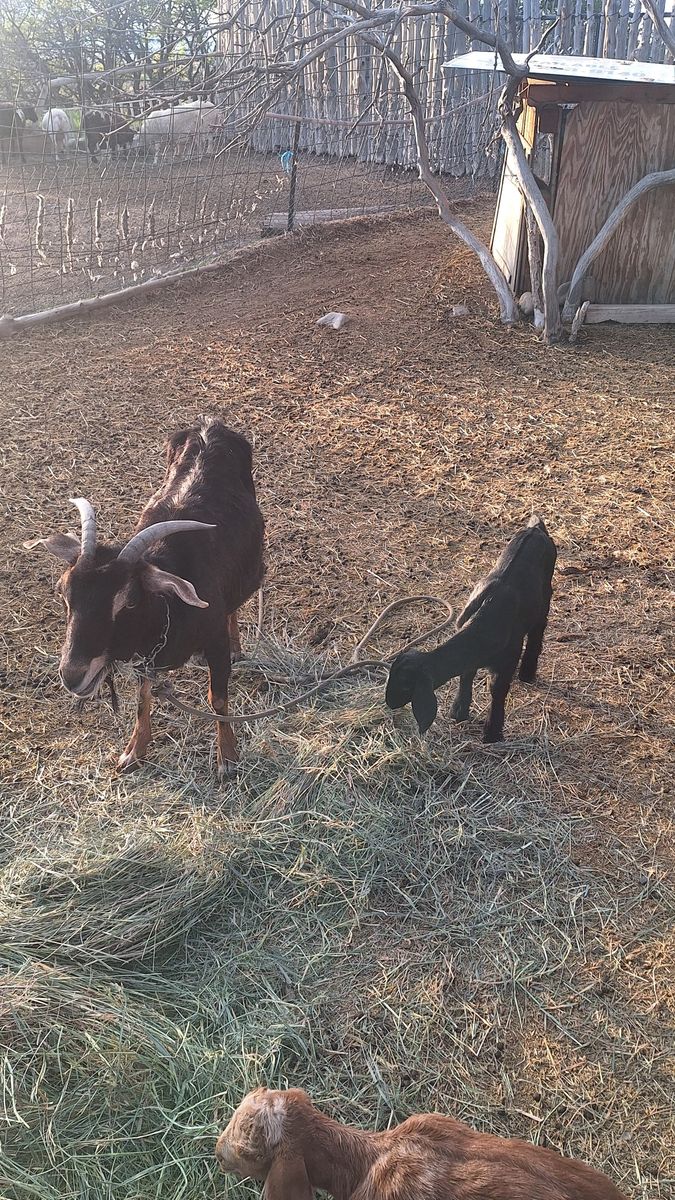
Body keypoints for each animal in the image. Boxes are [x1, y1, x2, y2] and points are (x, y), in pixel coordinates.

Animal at [25, 418, 265, 779]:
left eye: (129, 601)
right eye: (63, 593)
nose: (72, 675)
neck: (171, 608)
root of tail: (210, 424)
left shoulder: (214, 640)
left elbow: (218, 699)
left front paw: (228, 758)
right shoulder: (144, 658)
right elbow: (142, 698)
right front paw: (133, 752)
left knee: (233, 604)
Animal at [385, 516, 557, 743]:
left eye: (406, 685)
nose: (389, 703)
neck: (481, 626)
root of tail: (535, 528)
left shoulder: (507, 659)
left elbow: (497, 690)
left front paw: (492, 733)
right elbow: (466, 674)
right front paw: (459, 712)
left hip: (546, 593)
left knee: (538, 628)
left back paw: (527, 673)